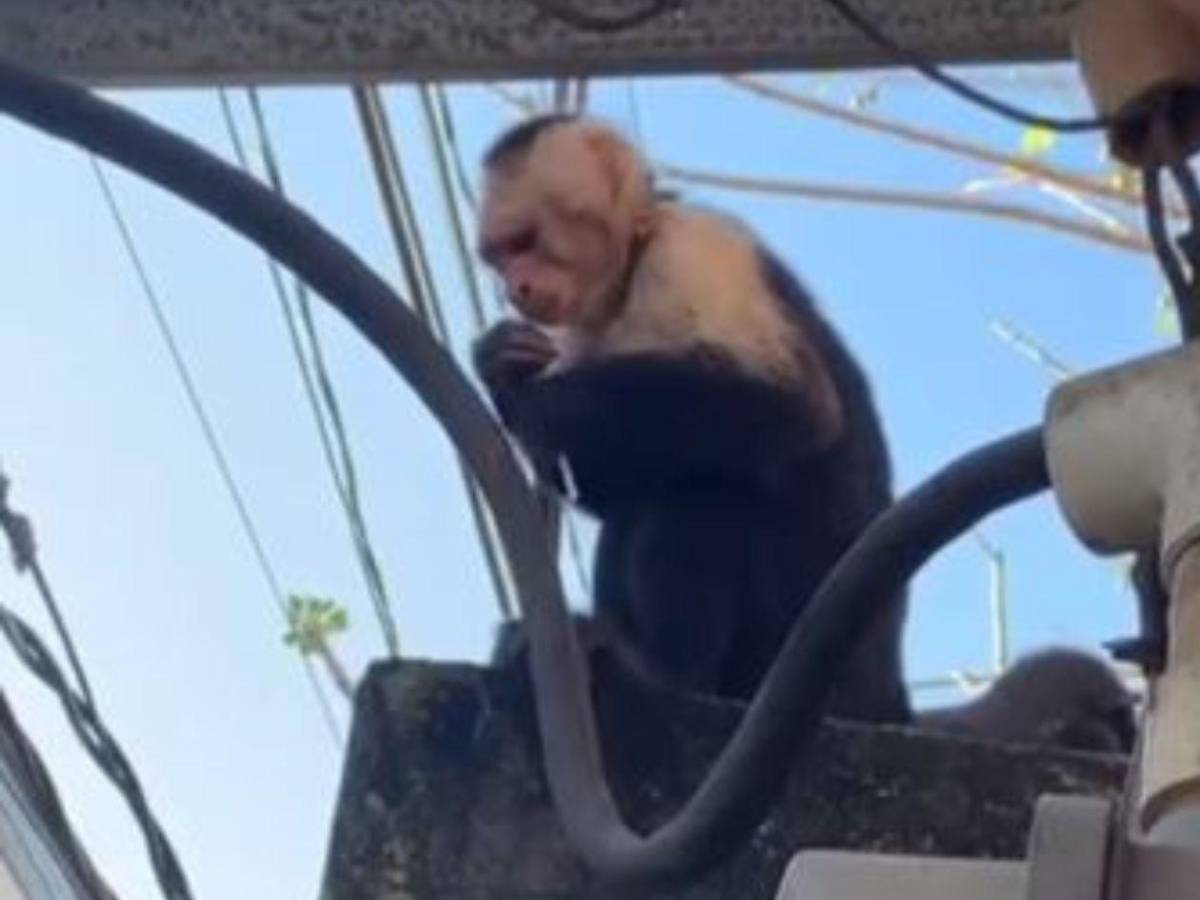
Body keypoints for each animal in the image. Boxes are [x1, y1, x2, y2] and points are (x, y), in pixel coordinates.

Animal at [472, 113, 909, 722]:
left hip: (808, 642)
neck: (631, 265)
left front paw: (521, 392)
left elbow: (796, 408)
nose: (518, 289)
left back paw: (665, 674)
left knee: (702, 489)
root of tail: (887, 690)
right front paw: (499, 369)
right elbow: (602, 482)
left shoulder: (691, 249)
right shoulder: (585, 329)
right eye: (499, 257)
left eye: (526, 242)